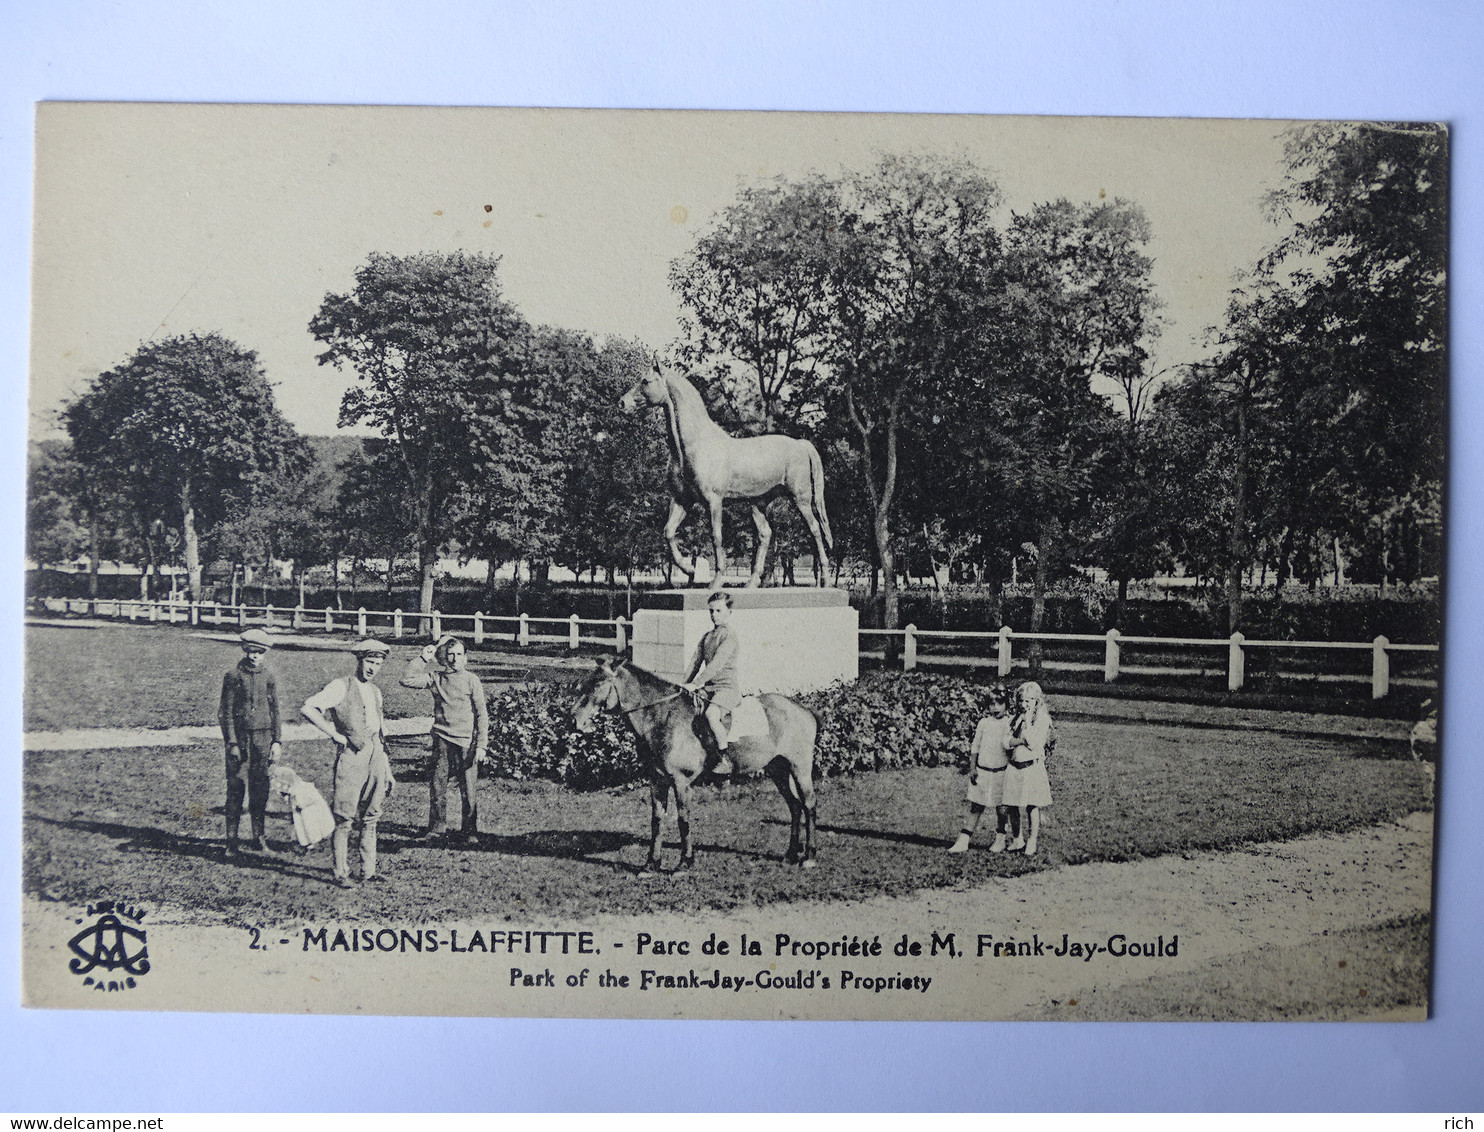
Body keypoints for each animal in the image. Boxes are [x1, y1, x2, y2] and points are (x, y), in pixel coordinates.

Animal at [569, 649, 825, 872]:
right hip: (777, 768)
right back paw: (791, 855)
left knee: (808, 804)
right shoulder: (657, 781)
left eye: (599, 683)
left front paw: (685, 863)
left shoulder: (681, 781)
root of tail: (803, 710)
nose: (574, 720)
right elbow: (657, 820)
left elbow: (683, 819)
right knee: (794, 806)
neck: (663, 716)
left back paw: (809, 857)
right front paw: (651, 865)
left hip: (799, 768)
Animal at [617, 367, 836, 587]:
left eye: (645, 381)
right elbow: (668, 532)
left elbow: (716, 537)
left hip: (801, 500)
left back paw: (825, 580)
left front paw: (715, 581)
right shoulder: (682, 499)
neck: (695, 445)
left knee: (815, 530)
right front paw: (689, 569)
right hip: (759, 503)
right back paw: (751, 582)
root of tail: (801, 445)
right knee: (765, 534)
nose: (622, 403)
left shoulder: (713, 500)